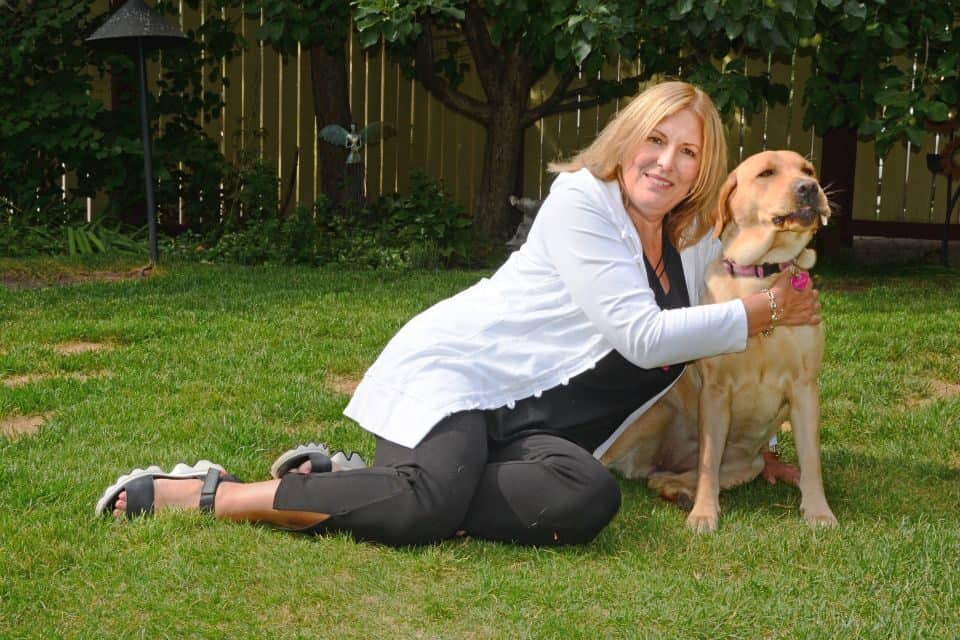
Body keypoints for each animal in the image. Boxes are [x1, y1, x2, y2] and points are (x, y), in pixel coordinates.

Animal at [604, 150, 836, 528]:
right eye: (766, 173)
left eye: (808, 170)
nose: (810, 188)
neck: (762, 280)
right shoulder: (715, 392)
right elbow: (708, 461)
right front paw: (704, 513)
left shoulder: (804, 388)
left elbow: (811, 460)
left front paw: (818, 511)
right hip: (657, 414)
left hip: (749, 461)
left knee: (667, 477)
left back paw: (677, 490)